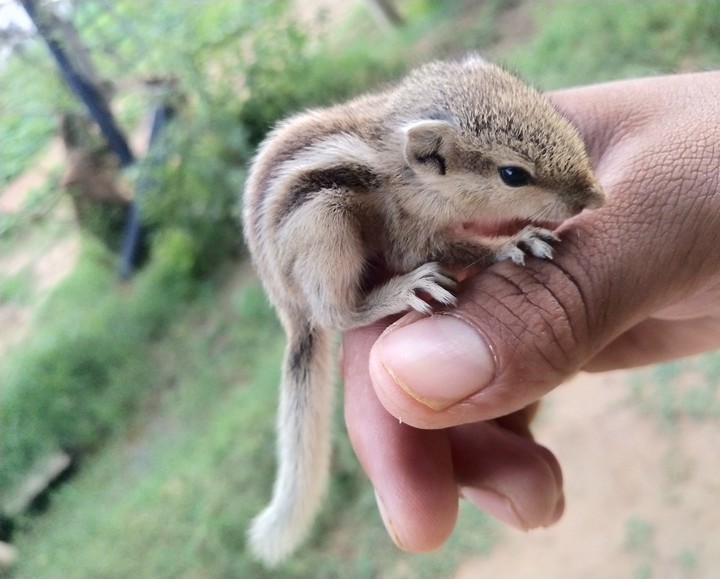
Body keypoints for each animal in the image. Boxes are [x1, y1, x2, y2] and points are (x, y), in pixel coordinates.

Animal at [242, 55, 605, 565]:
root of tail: (289, 308)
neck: (402, 166)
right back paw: (401, 291)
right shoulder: (409, 231)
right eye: (513, 175)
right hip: (324, 223)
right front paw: (515, 241)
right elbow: (451, 248)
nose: (597, 197)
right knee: (337, 313)